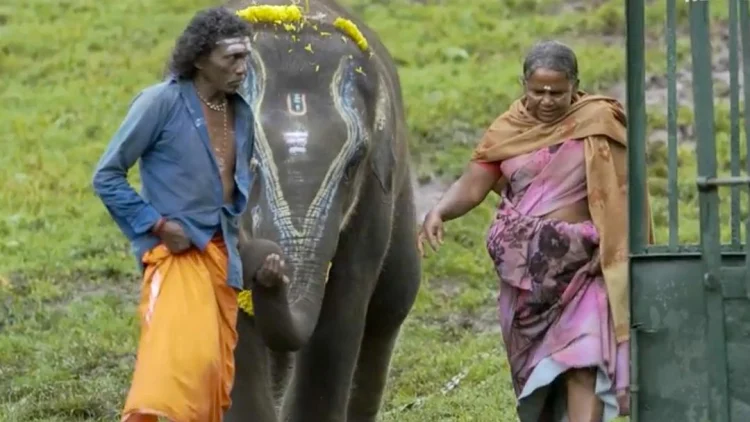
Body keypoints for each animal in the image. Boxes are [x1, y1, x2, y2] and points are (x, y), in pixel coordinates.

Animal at [220, 1, 423, 421]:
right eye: (250, 162)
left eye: (353, 164)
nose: (270, 266)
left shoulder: (372, 199)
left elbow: (341, 311)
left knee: (391, 305)